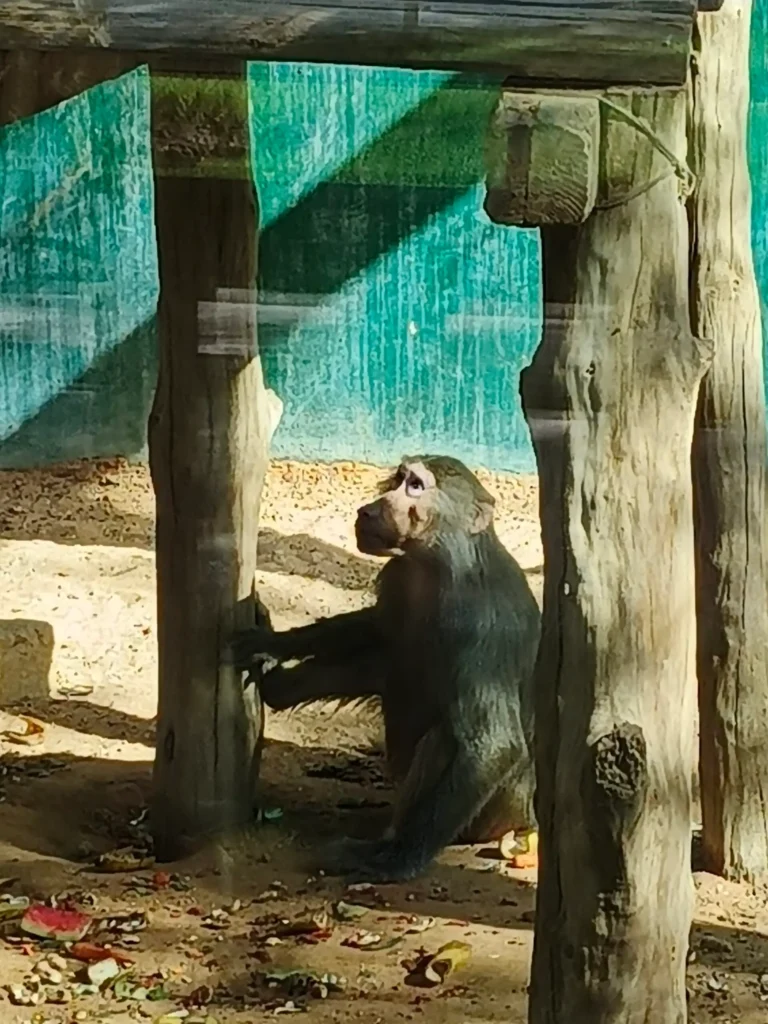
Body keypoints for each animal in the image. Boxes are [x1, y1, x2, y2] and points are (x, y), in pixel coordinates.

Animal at [233, 455, 541, 882]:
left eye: (416, 486)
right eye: (399, 478)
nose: (370, 508)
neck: (437, 562)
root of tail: (528, 817)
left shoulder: (481, 621)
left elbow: (494, 744)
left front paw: (395, 860)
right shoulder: (399, 574)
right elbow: (377, 629)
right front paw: (276, 643)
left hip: (496, 812)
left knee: (445, 737)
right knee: (389, 660)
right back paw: (280, 689)